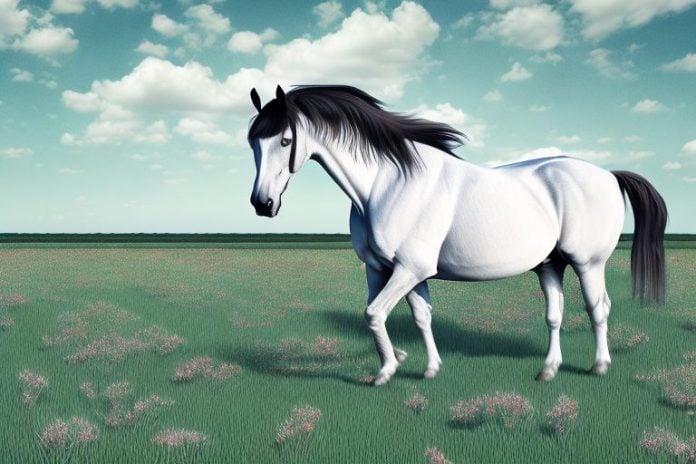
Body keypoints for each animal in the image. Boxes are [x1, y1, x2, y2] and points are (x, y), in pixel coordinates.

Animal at [247, 84, 667, 386]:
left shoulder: (408, 270)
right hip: (551, 264)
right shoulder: (386, 269)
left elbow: (374, 313)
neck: (387, 184)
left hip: (587, 263)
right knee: (554, 315)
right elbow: (418, 316)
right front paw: (424, 366)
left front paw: (386, 371)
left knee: (598, 309)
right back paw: (548, 370)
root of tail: (609, 175)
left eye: (284, 140)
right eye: (253, 142)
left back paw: (599, 367)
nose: (262, 203)